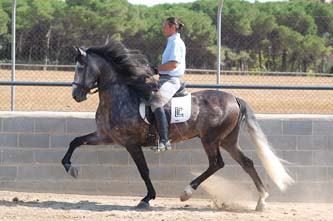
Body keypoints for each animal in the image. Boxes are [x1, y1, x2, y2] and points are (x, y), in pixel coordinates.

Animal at [61, 40, 292, 212]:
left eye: (81, 67)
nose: (76, 95)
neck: (120, 94)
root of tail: (233, 98)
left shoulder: (131, 144)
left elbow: (144, 170)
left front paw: (147, 198)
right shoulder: (105, 136)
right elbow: (75, 141)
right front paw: (70, 168)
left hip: (210, 139)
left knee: (216, 164)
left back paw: (186, 192)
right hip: (227, 140)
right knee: (247, 162)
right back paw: (261, 201)